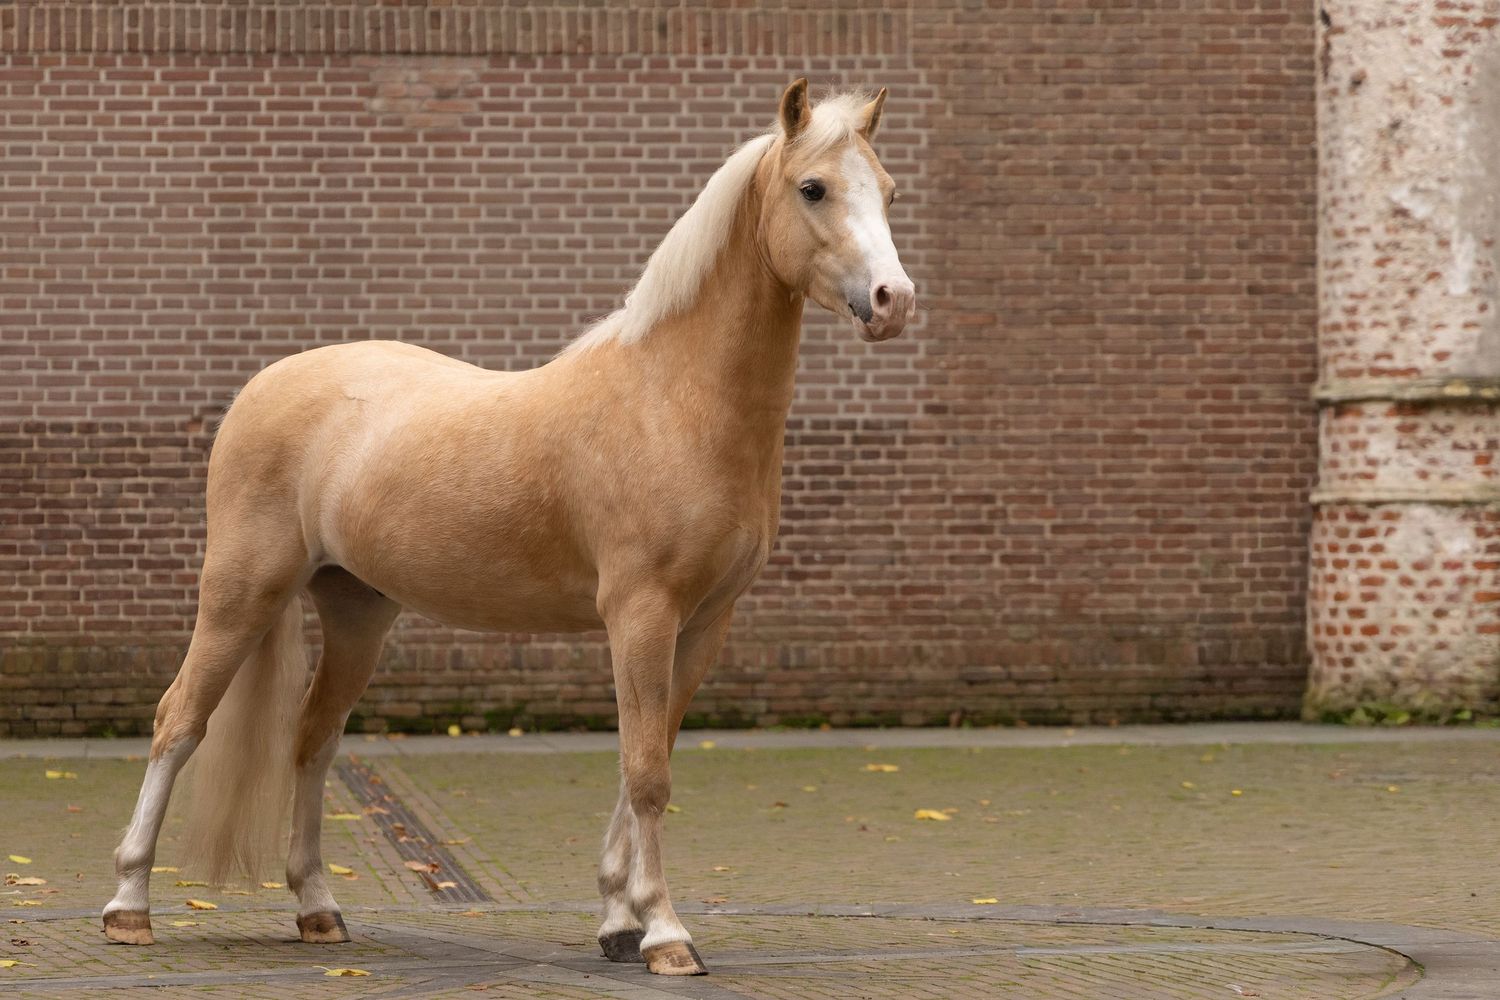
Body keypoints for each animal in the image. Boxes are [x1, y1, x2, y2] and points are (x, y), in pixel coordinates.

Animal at [102, 78, 917, 977]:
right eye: (813, 188)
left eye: (887, 191)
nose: (893, 302)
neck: (671, 398)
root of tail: (265, 385)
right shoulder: (640, 614)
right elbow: (647, 773)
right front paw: (666, 935)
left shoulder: (703, 624)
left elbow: (648, 757)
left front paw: (618, 919)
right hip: (241, 593)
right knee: (179, 722)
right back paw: (128, 906)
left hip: (356, 611)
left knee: (313, 740)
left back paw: (318, 909)